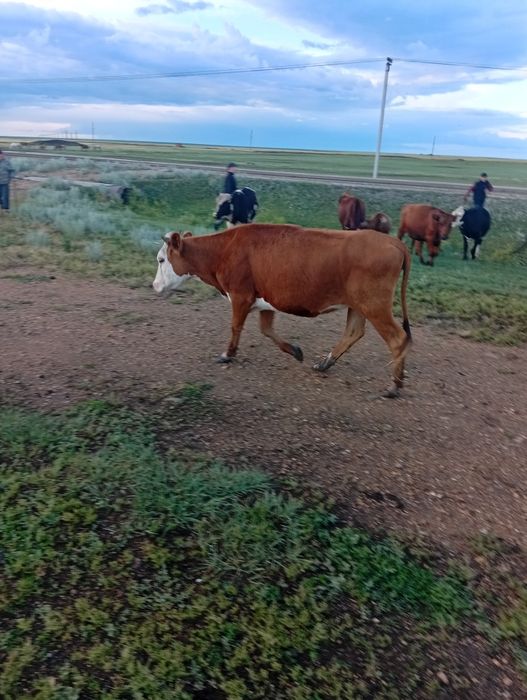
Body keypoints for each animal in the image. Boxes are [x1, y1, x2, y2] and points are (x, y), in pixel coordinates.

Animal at [153, 224, 412, 398]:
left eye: (161, 260)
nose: (154, 285)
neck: (224, 249)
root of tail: (394, 242)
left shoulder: (240, 296)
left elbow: (236, 327)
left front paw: (227, 354)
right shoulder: (266, 301)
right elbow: (267, 330)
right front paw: (295, 351)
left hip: (375, 305)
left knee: (398, 339)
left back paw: (394, 385)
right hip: (358, 305)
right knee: (353, 333)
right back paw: (325, 364)